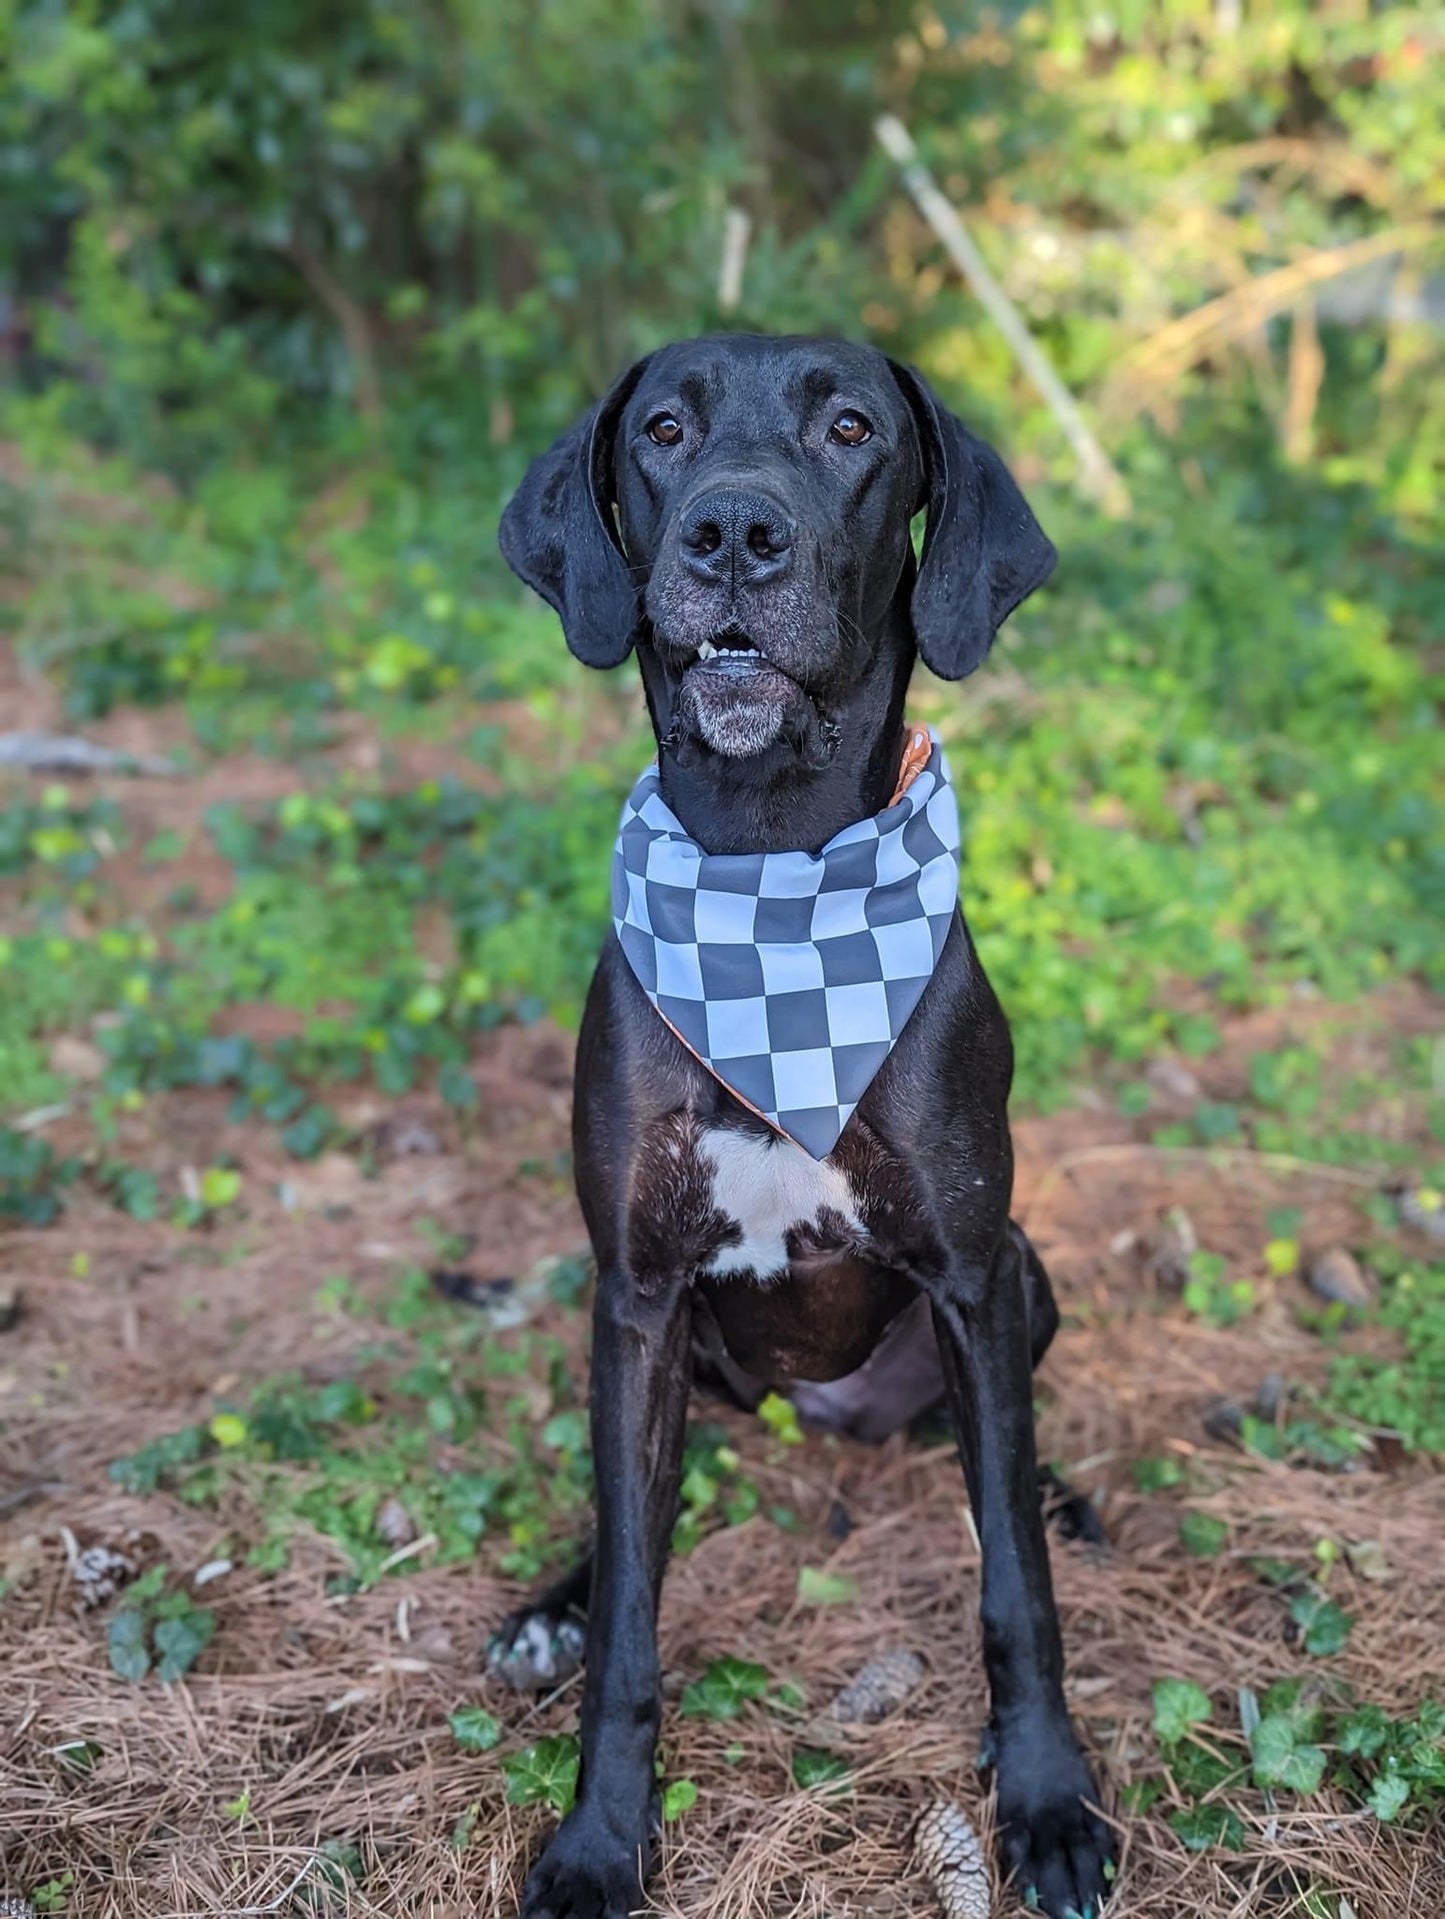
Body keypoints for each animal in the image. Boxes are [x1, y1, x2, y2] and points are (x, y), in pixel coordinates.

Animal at [491, 337, 1113, 1919]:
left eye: (849, 429)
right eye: (660, 429)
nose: (731, 532)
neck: (768, 869)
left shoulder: (967, 1272)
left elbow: (1014, 1583)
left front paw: (1046, 1801)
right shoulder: (635, 1294)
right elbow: (634, 1607)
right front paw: (599, 1840)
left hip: (1024, 1274)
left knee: (993, 1459)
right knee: (638, 1509)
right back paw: (549, 1609)